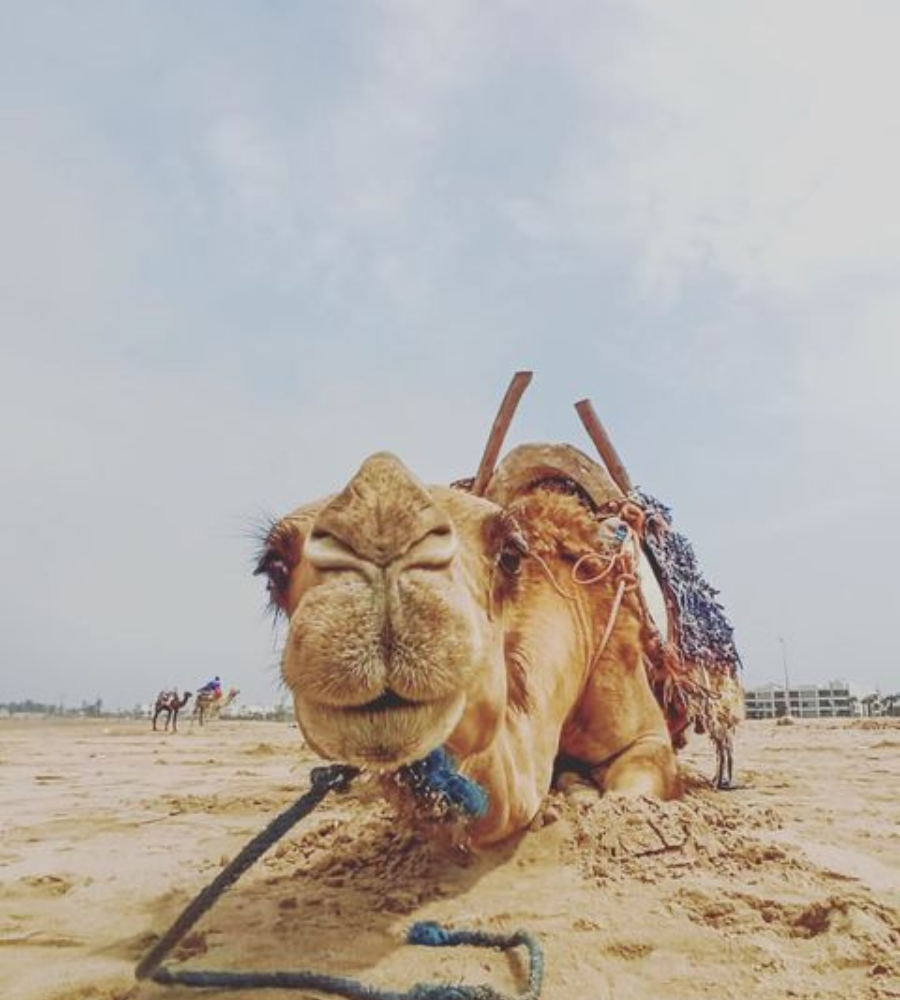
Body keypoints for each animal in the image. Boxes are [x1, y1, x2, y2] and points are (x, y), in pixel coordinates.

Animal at [253, 454, 676, 844]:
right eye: (274, 566)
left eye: (509, 554)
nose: (381, 521)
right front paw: (575, 786)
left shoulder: (642, 724)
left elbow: (631, 788)